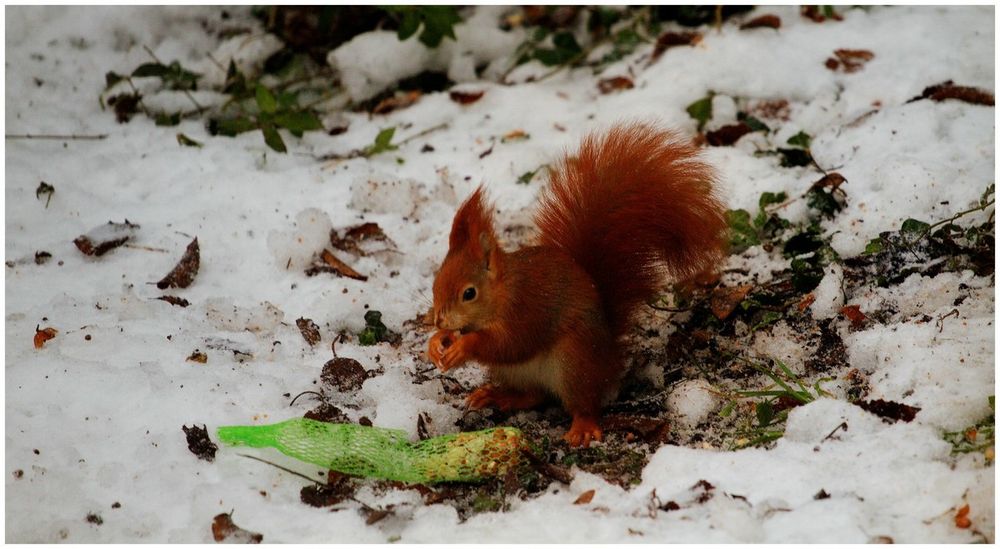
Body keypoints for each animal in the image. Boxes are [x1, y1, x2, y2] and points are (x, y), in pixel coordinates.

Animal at [426, 122, 724, 448]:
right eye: (435, 283)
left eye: (469, 293)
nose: (439, 319)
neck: (502, 293)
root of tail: (608, 360)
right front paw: (438, 341)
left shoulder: (526, 310)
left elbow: (510, 343)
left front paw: (463, 345)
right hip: (518, 373)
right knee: (534, 395)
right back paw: (496, 396)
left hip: (574, 362)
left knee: (582, 402)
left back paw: (582, 426)